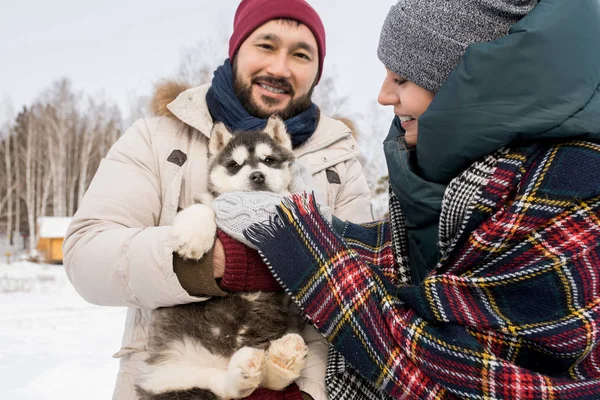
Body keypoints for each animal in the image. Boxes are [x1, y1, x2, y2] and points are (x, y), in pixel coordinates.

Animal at [135, 114, 304, 398]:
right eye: (235, 165)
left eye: (269, 160)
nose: (257, 176)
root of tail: (222, 358)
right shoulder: (207, 203)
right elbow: (204, 209)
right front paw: (194, 236)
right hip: (169, 374)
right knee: (227, 388)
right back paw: (248, 369)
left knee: (261, 382)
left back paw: (280, 360)